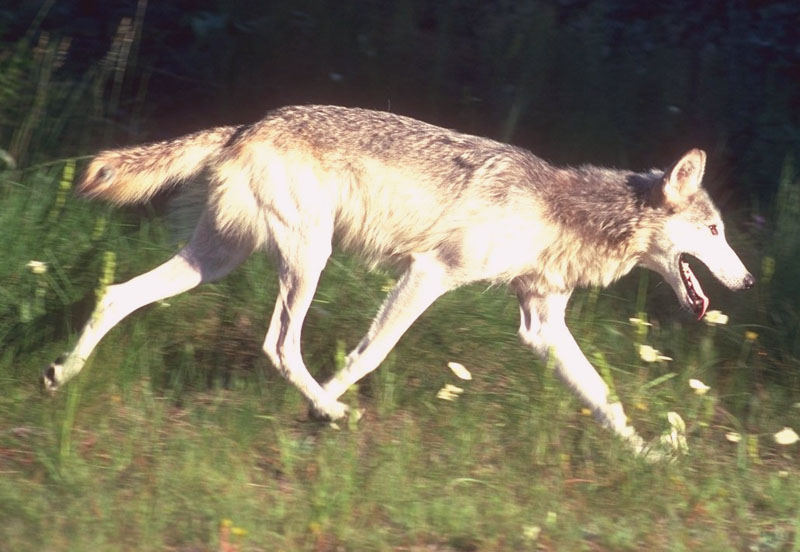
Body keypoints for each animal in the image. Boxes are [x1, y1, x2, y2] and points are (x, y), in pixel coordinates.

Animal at [42, 105, 754, 454]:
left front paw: (650, 454)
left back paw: (60, 375)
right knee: (280, 344)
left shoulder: (542, 324)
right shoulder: (429, 275)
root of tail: (245, 125)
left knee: (115, 296)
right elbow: (366, 355)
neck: (564, 214)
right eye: (716, 231)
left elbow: (606, 400)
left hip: (215, 261)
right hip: (307, 260)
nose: (746, 283)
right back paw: (331, 409)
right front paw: (317, 413)